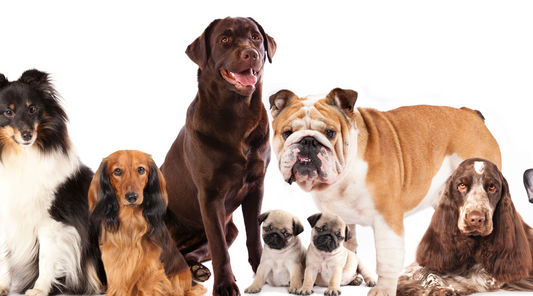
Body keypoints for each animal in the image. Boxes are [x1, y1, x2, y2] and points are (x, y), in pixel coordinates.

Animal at [394, 158, 532, 294]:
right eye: (462, 185)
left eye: (492, 186)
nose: (476, 219)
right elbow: (424, 274)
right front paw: (437, 287)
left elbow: (474, 279)